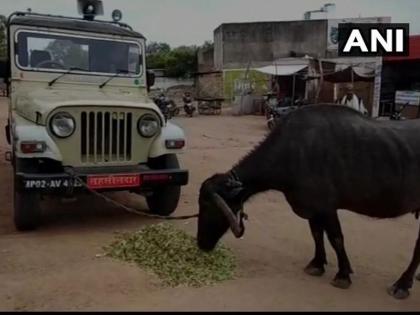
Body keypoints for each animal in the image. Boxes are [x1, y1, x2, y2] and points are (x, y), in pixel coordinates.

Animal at [198, 105, 420, 300]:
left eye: (208, 206)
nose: (201, 243)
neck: (293, 153)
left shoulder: (327, 208)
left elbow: (336, 238)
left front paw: (343, 274)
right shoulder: (313, 209)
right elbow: (316, 235)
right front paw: (317, 264)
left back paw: (401, 285)